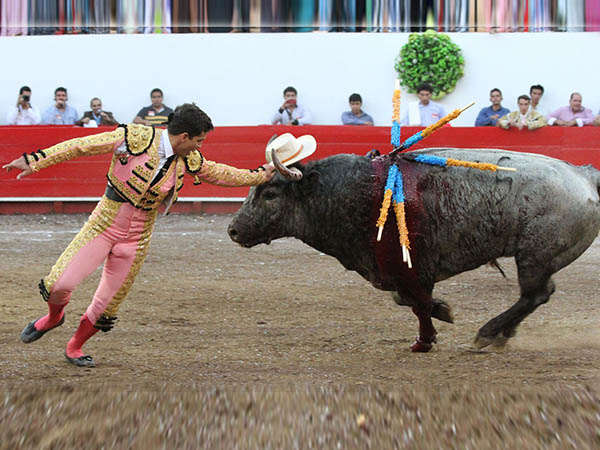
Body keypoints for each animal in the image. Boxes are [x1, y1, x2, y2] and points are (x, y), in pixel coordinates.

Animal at [229, 149, 600, 354]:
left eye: (270, 194)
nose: (233, 229)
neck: (353, 192)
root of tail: (582, 173)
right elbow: (408, 300)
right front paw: (442, 311)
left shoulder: (408, 268)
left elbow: (416, 303)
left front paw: (426, 339)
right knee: (537, 295)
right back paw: (501, 334)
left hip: (533, 257)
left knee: (534, 295)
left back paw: (488, 333)